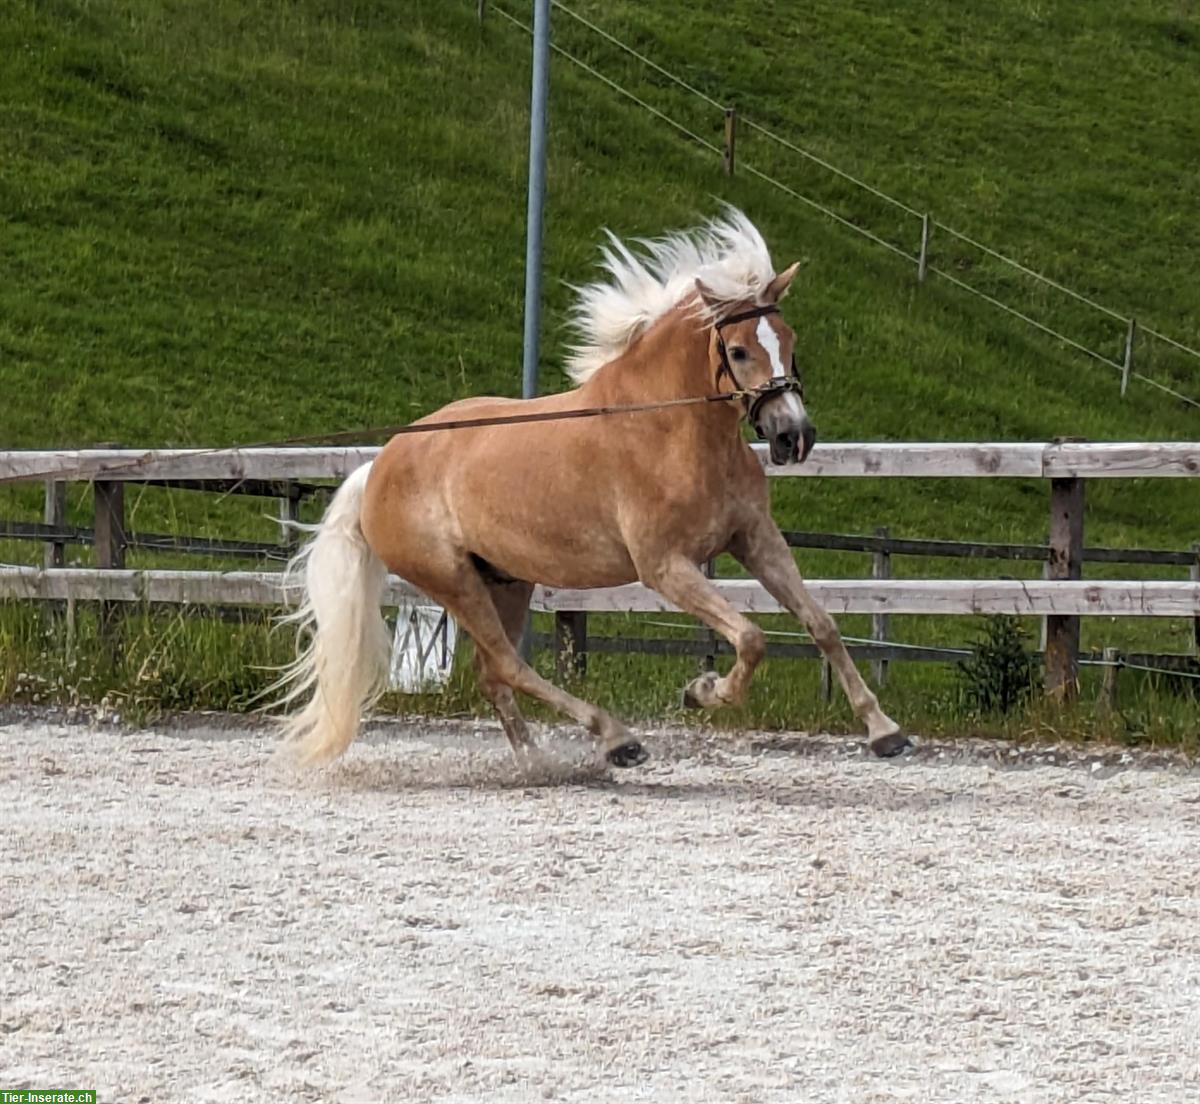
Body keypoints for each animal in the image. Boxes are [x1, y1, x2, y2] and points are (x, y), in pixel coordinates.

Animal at [274, 211, 907, 772]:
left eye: (789, 340)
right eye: (738, 351)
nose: (794, 435)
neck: (669, 428)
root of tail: (380, 464)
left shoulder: (755, 538)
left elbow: (821, 624)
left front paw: (885, 732)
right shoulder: (665, 567)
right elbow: (751, 638)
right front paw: (701, 691)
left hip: (506, 579)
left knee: (494, 675)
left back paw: (537, 763)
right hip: (452, 581)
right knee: (510, 666)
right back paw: (616, 741)